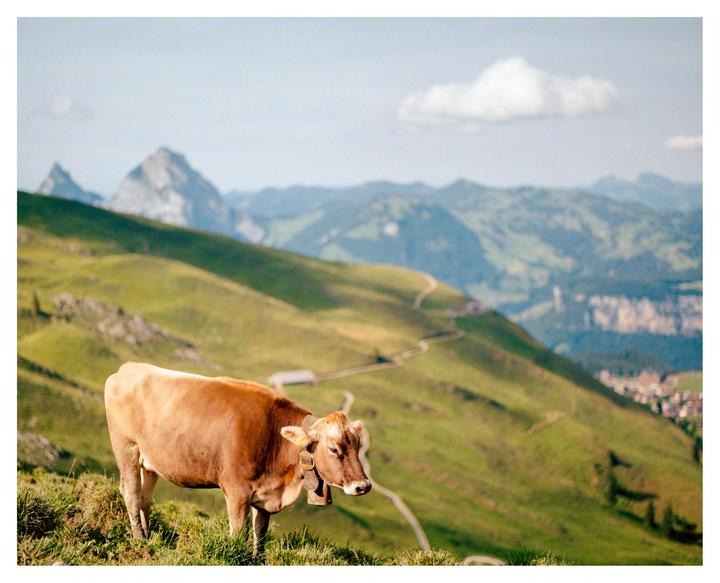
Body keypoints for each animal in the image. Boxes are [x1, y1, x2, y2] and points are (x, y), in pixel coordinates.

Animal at [104, 362, 371, 555]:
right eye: (334, 449)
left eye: (358, 446)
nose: (364, 486)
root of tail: (128, 368)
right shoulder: (236, 492)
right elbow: (238, 534)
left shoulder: (265, 496)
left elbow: (260, 535)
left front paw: (257, 560)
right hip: (126, 448)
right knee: (131, 493)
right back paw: (140, 540)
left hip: (150, 461)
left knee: (145, 496)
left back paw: (150, 535)